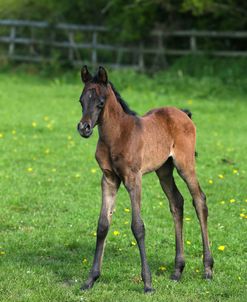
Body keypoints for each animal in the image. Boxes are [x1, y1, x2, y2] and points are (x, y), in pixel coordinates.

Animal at [77, 65, 214, 292]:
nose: (84, 128)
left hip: (185, 165)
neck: (117, 136)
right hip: (164, 170)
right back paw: (177, 271)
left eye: (101, 102)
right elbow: (103, 225)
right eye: (81, 100)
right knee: (177, 202)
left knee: (199, 200)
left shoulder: (134, 179)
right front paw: (90, 279)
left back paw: (208, 269)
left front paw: (148, 283)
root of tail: (184, 114)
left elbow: (138, 227)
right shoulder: (109, 179)